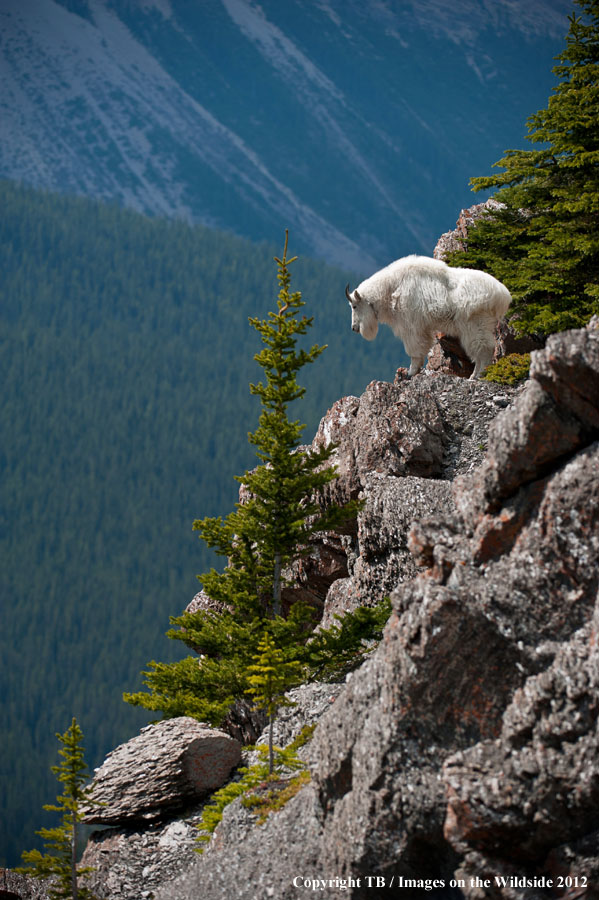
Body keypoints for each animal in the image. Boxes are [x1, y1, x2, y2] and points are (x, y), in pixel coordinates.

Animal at [346, 255, 510, 378]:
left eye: (354, 306)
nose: (354, 328)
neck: (390, 289)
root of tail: (503, 296)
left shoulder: (411, 326)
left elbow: (415, 350)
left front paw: (410, 373)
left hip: (476, 324)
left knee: (483, 350)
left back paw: (476, 376)